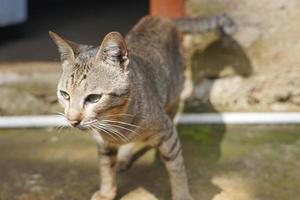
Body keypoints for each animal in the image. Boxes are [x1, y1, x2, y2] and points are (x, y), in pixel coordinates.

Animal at [49, 13, 236, 200]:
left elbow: (177, 168)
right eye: (65, 95)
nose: (72, 121)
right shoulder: (103, 144)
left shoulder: (167, 131)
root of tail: (163, 18)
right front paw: (107, 192)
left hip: (173, 98)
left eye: (94, 98)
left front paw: (181, 194)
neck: (116, 124)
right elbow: (106, 168)